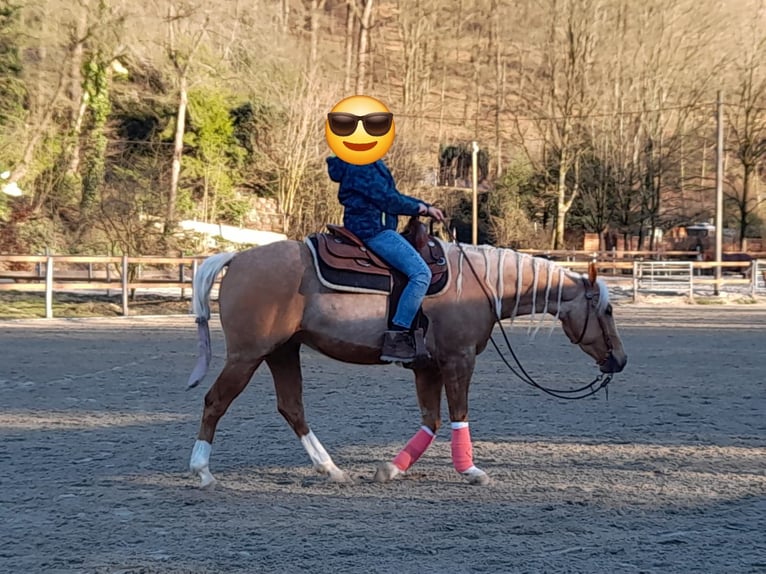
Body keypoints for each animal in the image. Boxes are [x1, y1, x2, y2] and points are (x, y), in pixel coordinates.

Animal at [186, 227, 632, 488]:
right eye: (608, 310)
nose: (621, 361)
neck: (479, 284)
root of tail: (237, 257)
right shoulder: (458, 361)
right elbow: (458, 415)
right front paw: (471, 471)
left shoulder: (427, 366)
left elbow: (430, 422)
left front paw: (392, 468)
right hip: (247, 355)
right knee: (215, 402)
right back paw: (202, 471)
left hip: (282, 351)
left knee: (291, 408)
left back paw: (331, 469)